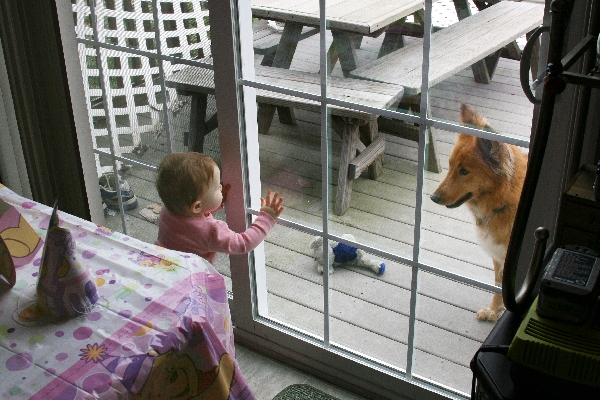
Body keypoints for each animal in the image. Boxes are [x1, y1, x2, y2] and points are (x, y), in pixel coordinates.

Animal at [432, 104, 524, 322]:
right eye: (450, 165)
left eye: (465, 171)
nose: (433, 197)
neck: (504, 202)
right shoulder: (499, 257)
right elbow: (498, 285)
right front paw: (494, 310)